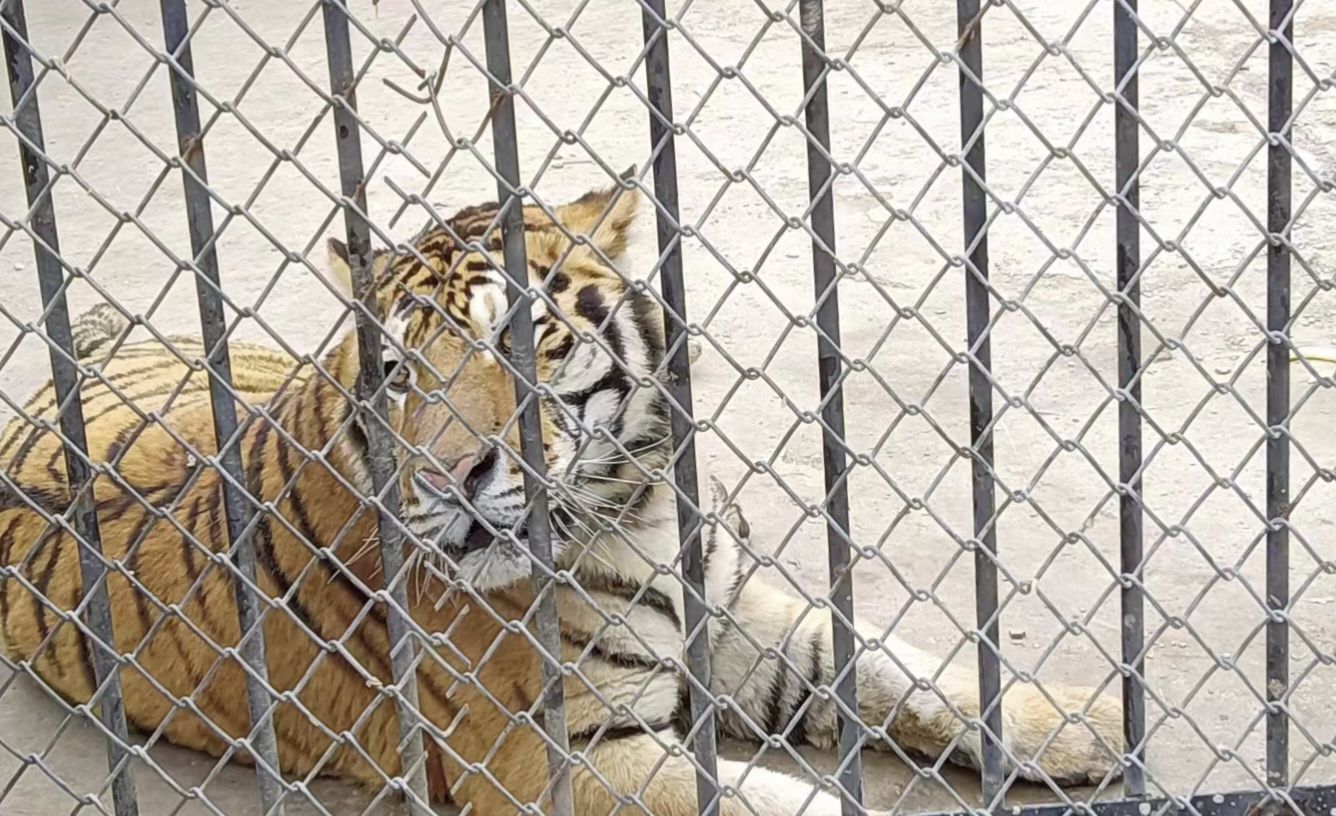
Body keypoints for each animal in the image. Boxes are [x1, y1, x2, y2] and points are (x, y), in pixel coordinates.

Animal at [0, 175, 1122, 814]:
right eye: (398, 373)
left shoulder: (735, 622)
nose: (451, 475)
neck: (634, 507)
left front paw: (1090, 722)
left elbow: (908, 673)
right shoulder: (552, 757)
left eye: (518, 338)